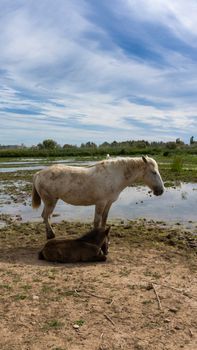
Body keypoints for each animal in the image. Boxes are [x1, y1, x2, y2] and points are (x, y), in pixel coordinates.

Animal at [31, 155, 165, 238]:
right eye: (154, 172)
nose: (161, 191)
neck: (114, 175)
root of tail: (38, 174)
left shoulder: (108, 203)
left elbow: (104, 219)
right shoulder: (100, 203)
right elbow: (97, 220)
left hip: (50, 202)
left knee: (46, 216)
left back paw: (50, 235)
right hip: (50, 201)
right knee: (46, 216)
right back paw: (51, 235)